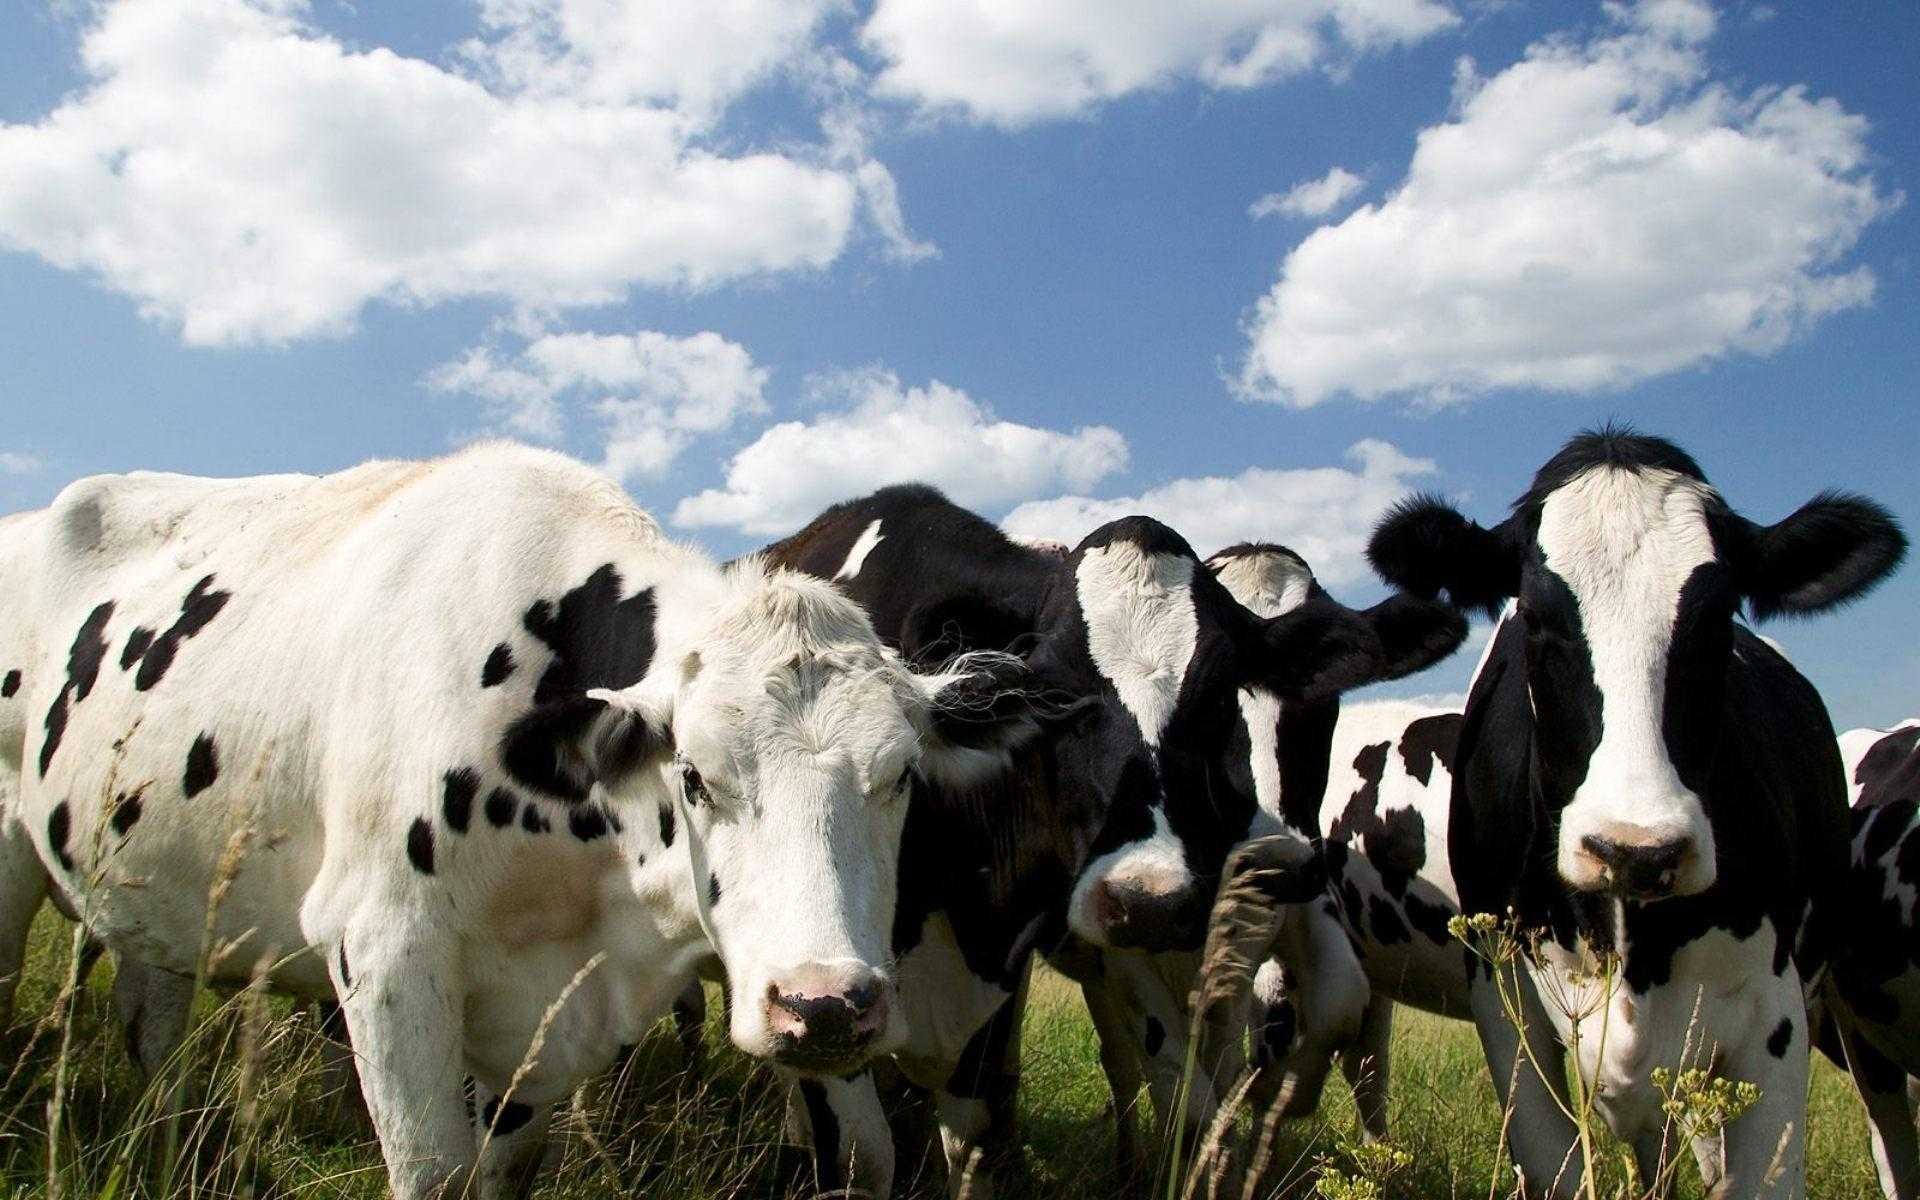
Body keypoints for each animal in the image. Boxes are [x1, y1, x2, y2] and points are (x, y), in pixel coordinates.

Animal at [0, 445, 1057, 1200]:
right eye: (695, 777)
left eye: (900, 776)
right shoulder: (384, 951)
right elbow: (436, 1176)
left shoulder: (544, 1022)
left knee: (152, 1028)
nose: (825, 1005)